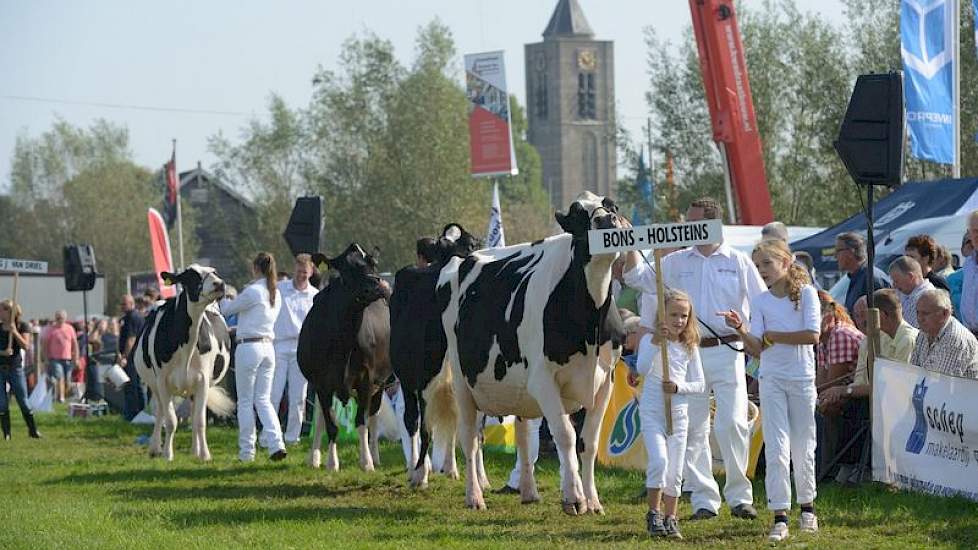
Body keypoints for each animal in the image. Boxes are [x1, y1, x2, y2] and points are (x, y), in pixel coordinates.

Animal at [132, 266, 234, 464]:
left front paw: (205, 454)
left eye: (214, 272)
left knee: (193, 414)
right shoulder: (163, 382)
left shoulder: (202, 381)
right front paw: (167, 454)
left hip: (193, 387)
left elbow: (200, 421)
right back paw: (155, 448)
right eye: (191, 276)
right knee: (159, 412)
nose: (220, 284)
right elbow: (171, 421)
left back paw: (195, 450)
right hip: (153, 386)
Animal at [300, 244, 390, 472]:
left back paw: (375, 455)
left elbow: (361, 423)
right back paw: (313, 457)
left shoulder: (367, 379)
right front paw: (332, 462)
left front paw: (366, 461)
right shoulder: (321, 382)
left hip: (382, 382)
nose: (377, 283)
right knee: (321, 418)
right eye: (348, 268)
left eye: (373, 263)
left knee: (373, 416)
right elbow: (331, 425)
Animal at [436, 192, 620, 516]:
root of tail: (463, 257)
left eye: (612, 206)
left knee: (522, 435)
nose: (607, 220)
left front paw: (594, 500)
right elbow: (566, 435)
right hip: (462, 381)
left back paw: (529, 492)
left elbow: (589, 443)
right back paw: (474, 496)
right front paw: (574, 498)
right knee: (469, 438)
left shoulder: (604, 382)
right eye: (578, 214)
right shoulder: (543, 380)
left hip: (517, 392)